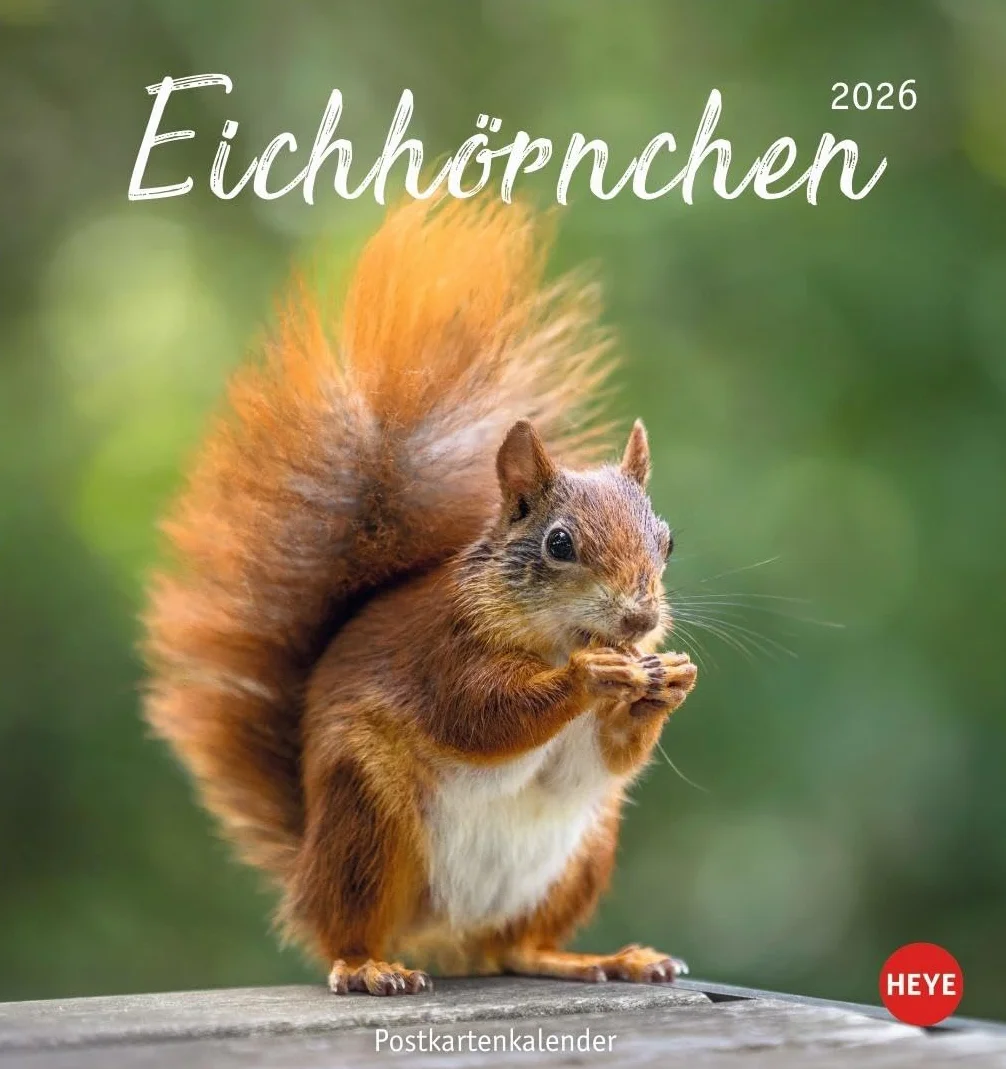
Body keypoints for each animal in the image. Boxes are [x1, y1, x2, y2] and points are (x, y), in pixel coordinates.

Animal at [143, 198, 698, 997]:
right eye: (559, 543)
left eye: (668, 540)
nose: (641, 617)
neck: (554, 634)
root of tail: (441, 936)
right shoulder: (444, 652)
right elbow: (482, 714)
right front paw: (590, 675)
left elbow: (614, 752)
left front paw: (670, 679)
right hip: (366, 820)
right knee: (347, 929)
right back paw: (368, 965)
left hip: (581, 851)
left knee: (518, 947)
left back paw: (596, 958)